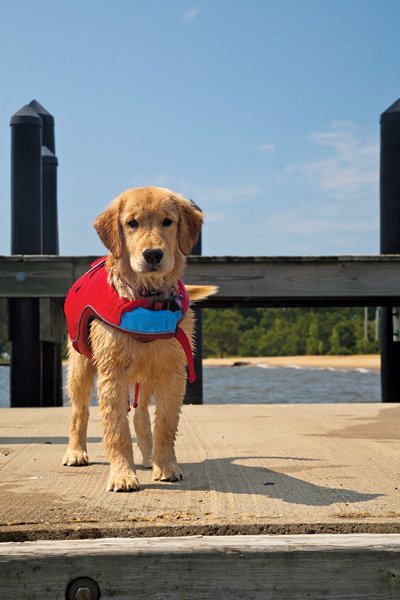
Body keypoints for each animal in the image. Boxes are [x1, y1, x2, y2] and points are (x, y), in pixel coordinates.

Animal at [61, 188, 216, 492]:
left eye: (167, 221)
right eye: (132, 223)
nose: (153, 254)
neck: (148, 299)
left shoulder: (172, 370)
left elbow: (165, 424)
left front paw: (165, 465)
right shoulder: (112, 371)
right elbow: (117, 430)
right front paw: (122, 475)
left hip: (144, 375)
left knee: (142, 415)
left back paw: (147, 456)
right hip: (81, 365)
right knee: (79, 411)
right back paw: (76, 452)